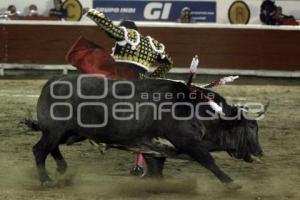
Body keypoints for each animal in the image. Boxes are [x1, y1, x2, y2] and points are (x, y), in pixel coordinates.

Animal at [31, 75, 262, 189]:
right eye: (251, 128)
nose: (260, 152)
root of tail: (51, 83)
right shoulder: (190, 144)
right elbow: (209, 162)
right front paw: (232, 184)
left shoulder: (155, 149)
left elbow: (157, 171)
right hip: (56, 130)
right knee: (39, 150)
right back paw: (46, 180)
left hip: (70, 133)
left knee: (52, 148)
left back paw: (62, 169)